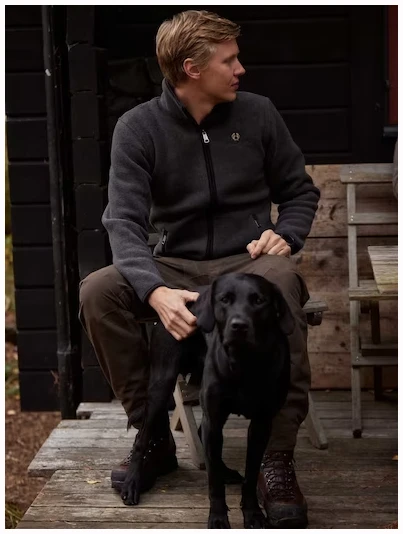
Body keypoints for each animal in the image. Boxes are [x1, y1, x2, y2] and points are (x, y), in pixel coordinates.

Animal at [120, 273, 294, 529]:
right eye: (225, 299)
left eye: (259, 300)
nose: (238, 326)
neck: (244, 363)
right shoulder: (214, 415)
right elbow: (214, 481)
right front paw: (218, 517)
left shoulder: (261, 424)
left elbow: (252, 474)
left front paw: (253, 514)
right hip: (162, 386)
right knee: (143, 437)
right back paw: (131, 484)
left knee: (203, 434)